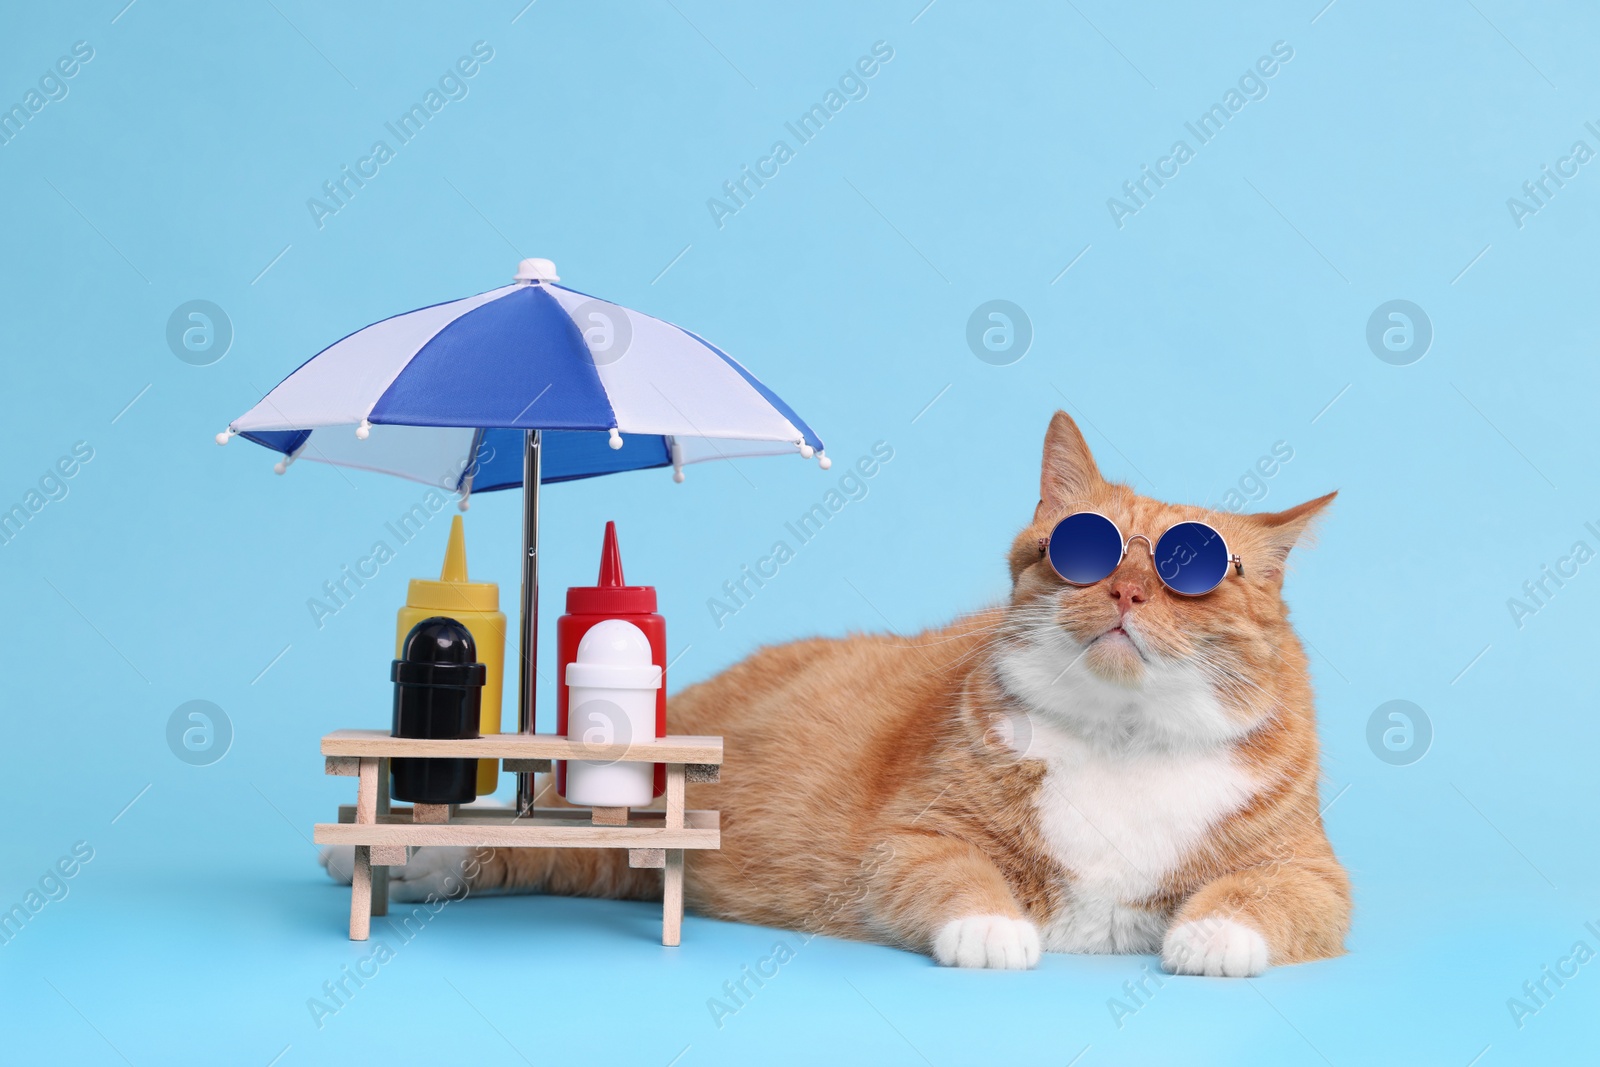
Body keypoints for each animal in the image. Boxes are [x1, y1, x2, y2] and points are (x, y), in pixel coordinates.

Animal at [334, 412, 1350, 979]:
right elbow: (956, 875)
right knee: (542, 835)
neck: (1125, 739)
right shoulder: (913, 839)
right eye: (1084, 549)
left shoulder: (1310, 873)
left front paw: (1213, 936)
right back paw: (418, 859)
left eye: (1195, 573)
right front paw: (993, 927)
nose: (1129, 593)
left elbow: (1262, 897)